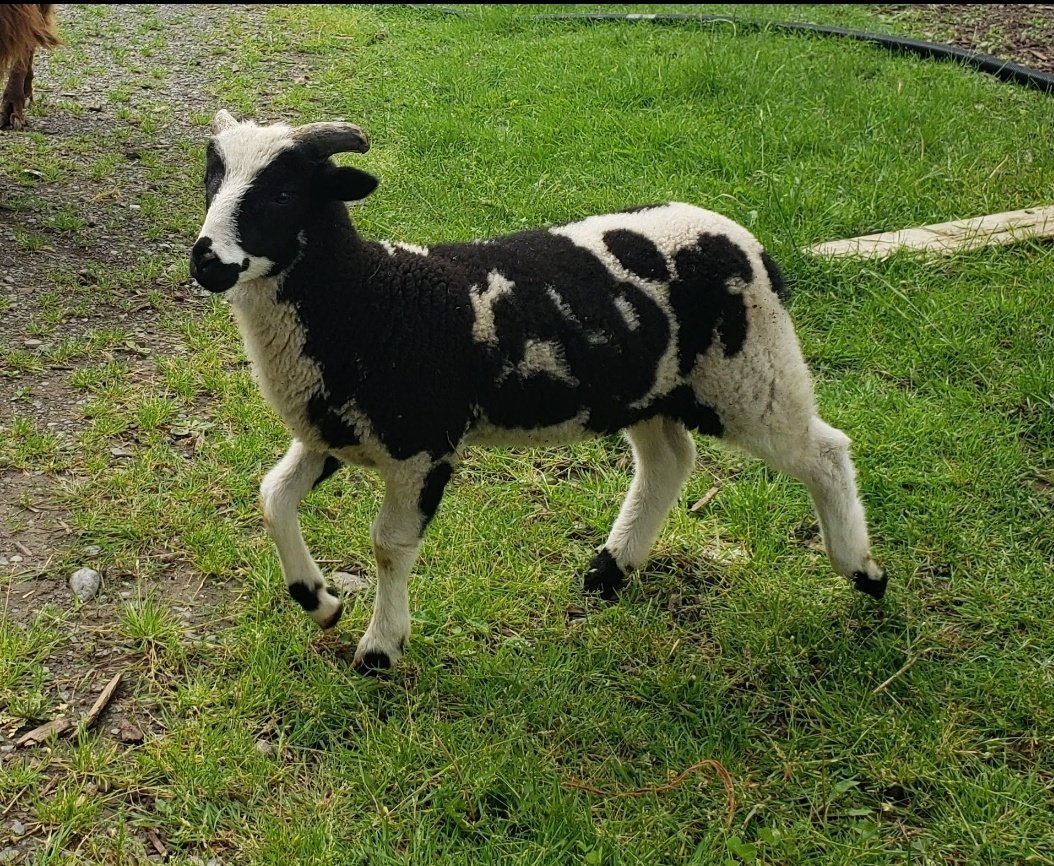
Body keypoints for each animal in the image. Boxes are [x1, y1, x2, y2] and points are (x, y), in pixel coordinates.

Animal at [189, 109, 887, 673]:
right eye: (212, 182)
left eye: (283, 194)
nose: (206, 261)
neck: (369, 295)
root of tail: (748, 242)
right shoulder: (329, 431)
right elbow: (272, 497)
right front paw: (318, 600)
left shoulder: (422, 444)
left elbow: (388, 546)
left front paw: (380, 648)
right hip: (647, 387)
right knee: (669, 461)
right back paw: (609, 571)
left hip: (751, 372)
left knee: (823, 451)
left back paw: (864, 572)